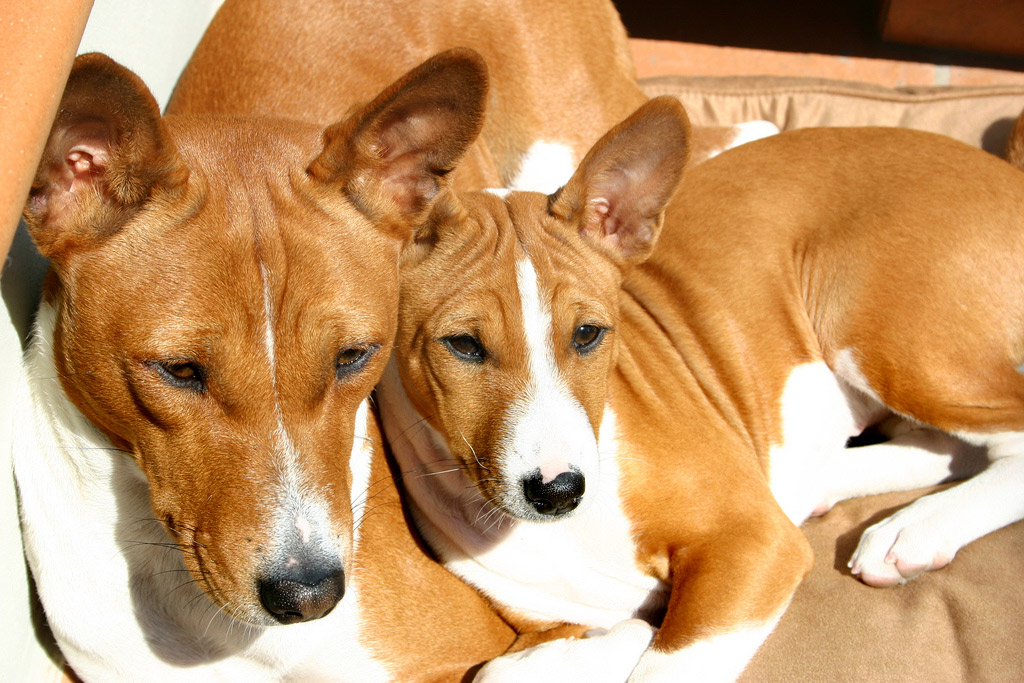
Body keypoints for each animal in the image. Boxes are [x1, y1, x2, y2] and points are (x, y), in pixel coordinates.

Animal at [374, 94, 1024, 679]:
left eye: (587, 334)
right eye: (463, 345)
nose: (558, 490)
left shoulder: (753, 545)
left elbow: (666, 665)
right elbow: (519, 665)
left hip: (884, 332)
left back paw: (913, 528)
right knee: (950, 447)